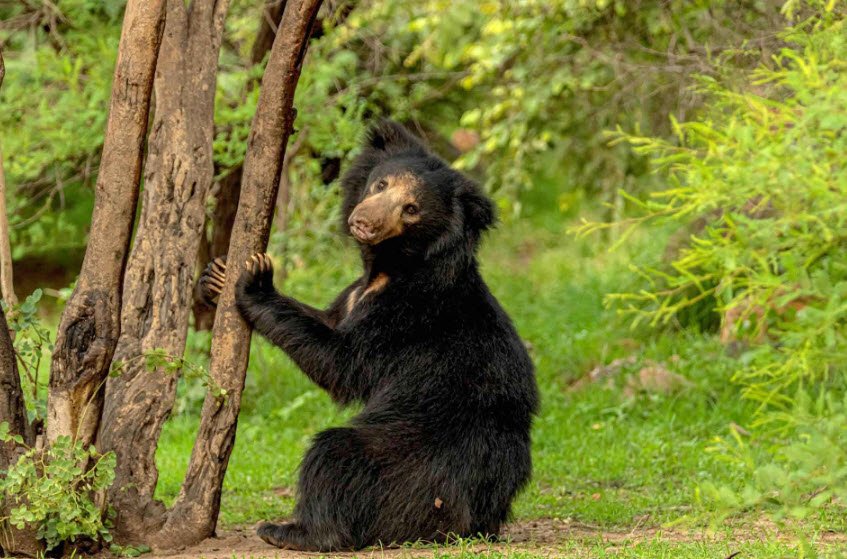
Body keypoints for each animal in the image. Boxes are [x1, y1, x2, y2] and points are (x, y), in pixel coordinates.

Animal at [199, 120, 538, 551]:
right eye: (381, 184)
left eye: (411, 209)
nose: (364, 221)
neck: (389, 268)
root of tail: (472, 520)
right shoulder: (353, 295)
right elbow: (326, 320)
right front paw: (214, 275)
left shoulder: (406, 314)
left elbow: (342, 362)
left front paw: (255, 279)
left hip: (408, 462)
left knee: (334, 457)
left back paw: (290, 530)